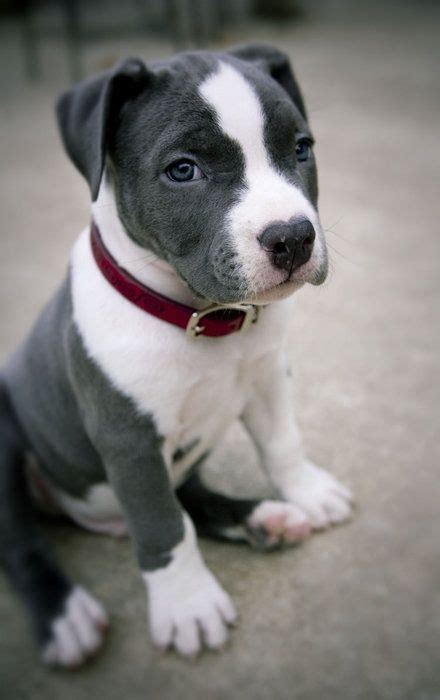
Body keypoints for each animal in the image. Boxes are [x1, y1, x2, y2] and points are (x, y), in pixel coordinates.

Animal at [0, 43, 352, 668]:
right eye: (183, 170)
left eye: (300, 149)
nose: (292, 236)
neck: (205, 320)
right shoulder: (129, 439)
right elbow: (164, 524)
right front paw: (188, 604)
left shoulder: (267, 375)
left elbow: (282, 442)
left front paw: (307, 490)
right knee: (21, 541)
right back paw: (66, 616)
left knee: (193, 496)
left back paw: (263, 517)